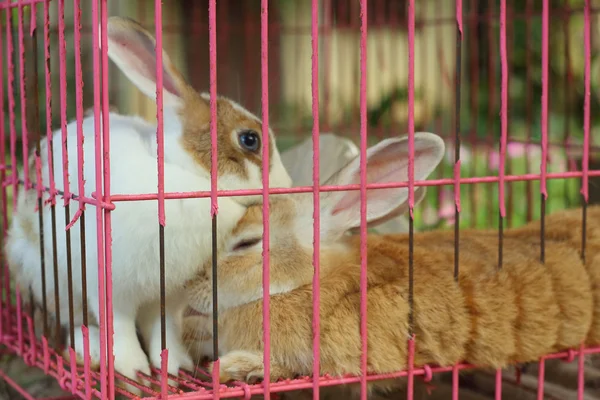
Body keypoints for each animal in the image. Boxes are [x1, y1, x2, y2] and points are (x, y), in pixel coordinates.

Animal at [2, 16, 292, 394]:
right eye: (249, 139)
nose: (288, 187)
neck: (181, 173)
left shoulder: (168, 296)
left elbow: (163, 332)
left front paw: (176, 368)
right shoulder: (111, 289)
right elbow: (121, 329)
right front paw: (134, 371)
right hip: (52, 282)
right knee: (75, 322)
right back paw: (91, 348)